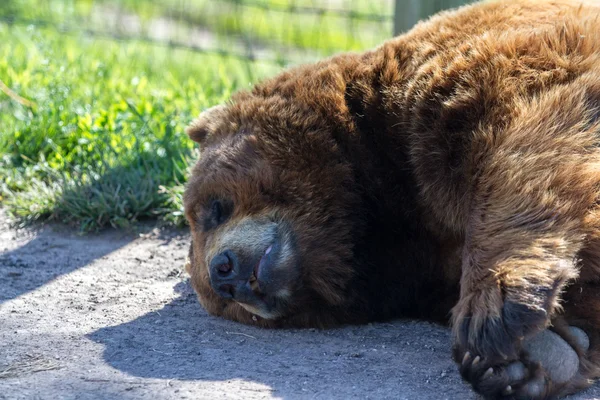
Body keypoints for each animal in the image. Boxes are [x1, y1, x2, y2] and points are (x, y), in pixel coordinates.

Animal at [183, 1, 600, 398]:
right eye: (224, 304)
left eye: (213, 209)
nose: (223, 273)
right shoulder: (423, 265)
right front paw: (534, 359)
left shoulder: (472, 76)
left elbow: (525, 134)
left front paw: (496, 314)